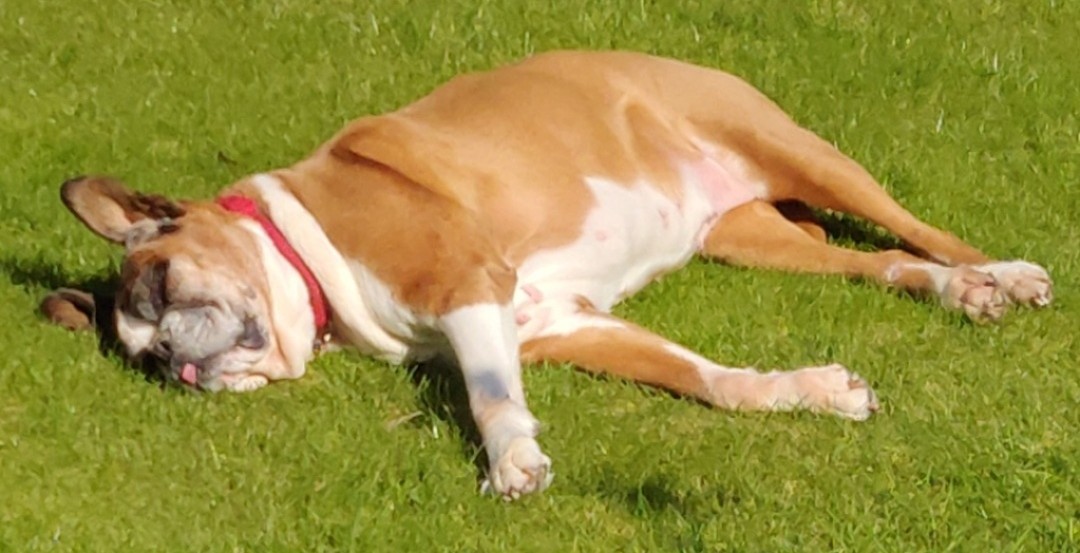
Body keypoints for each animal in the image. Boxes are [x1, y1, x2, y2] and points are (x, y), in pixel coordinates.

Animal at [58, 51, 1053, 500]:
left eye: (157, 289)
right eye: (139, 358)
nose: (174, 364)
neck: (305, 245)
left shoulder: (468, 289)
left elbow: (490, 393)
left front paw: (510, 457)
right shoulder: (566, 323)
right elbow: (712, 381)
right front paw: (807, 391)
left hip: (798, 149)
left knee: (920, 228)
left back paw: (998, 273)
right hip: (748, 237)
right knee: (878, 260)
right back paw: (958, 292)